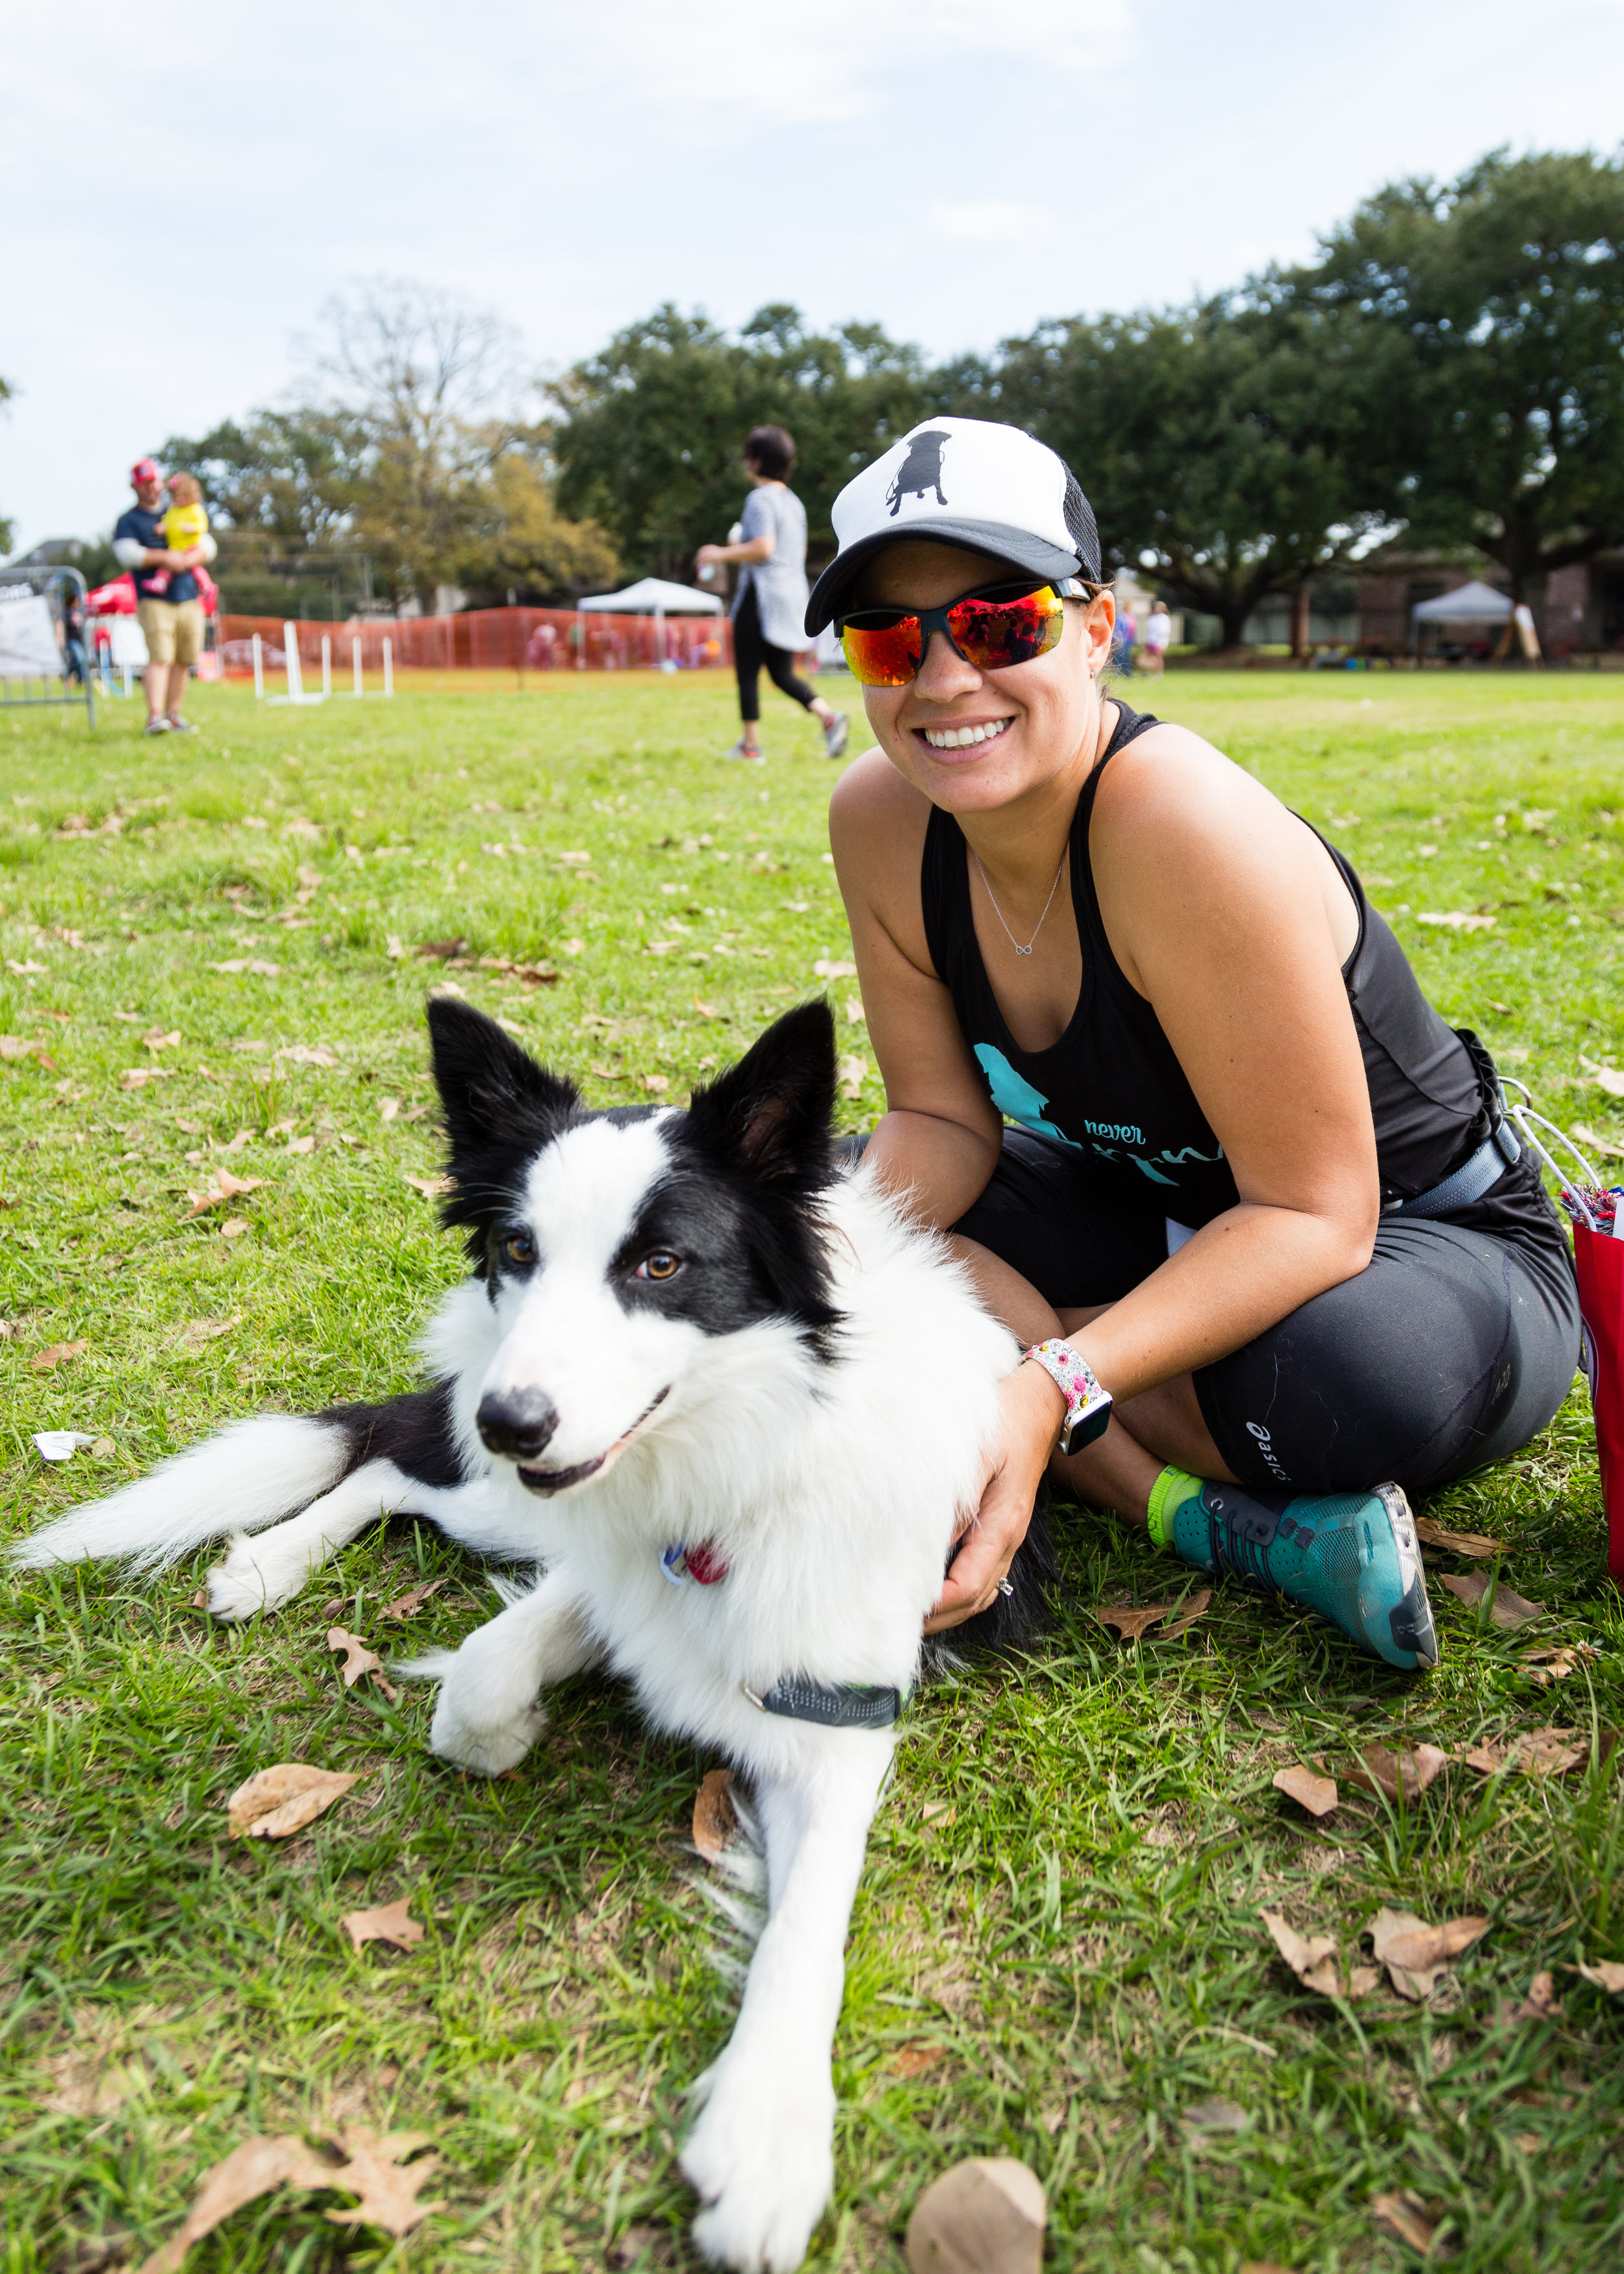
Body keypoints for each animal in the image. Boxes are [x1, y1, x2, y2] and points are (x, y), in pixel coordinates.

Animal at [12, 1001, 1032, 2274]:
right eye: (516, 1251)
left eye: (660, 1265)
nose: (512, 1422)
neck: (740, 1453)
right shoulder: (601, 1545)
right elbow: (485, 1676)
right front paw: (497, 1731)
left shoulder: (838, 1712)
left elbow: (807, 1928)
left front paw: (766, 2141)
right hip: (491, 1494)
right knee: (393, 1459)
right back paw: (265, 1561)